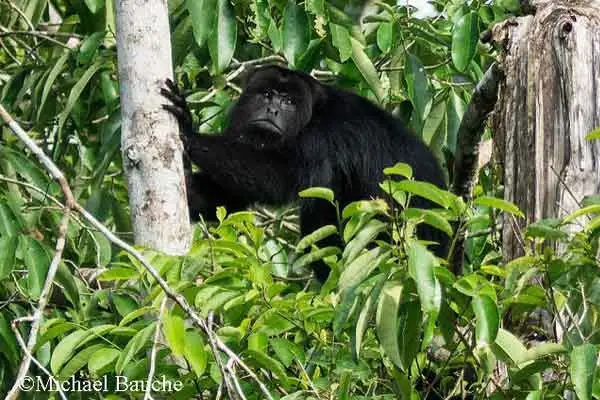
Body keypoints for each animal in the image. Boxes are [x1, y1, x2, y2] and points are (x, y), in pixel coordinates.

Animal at [162, 65, 448, 280]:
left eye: (289, 101)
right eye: (267, 94)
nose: (273, 110)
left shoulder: (320, 137)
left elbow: (279, 179)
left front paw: (188, 131)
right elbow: (229, 196)